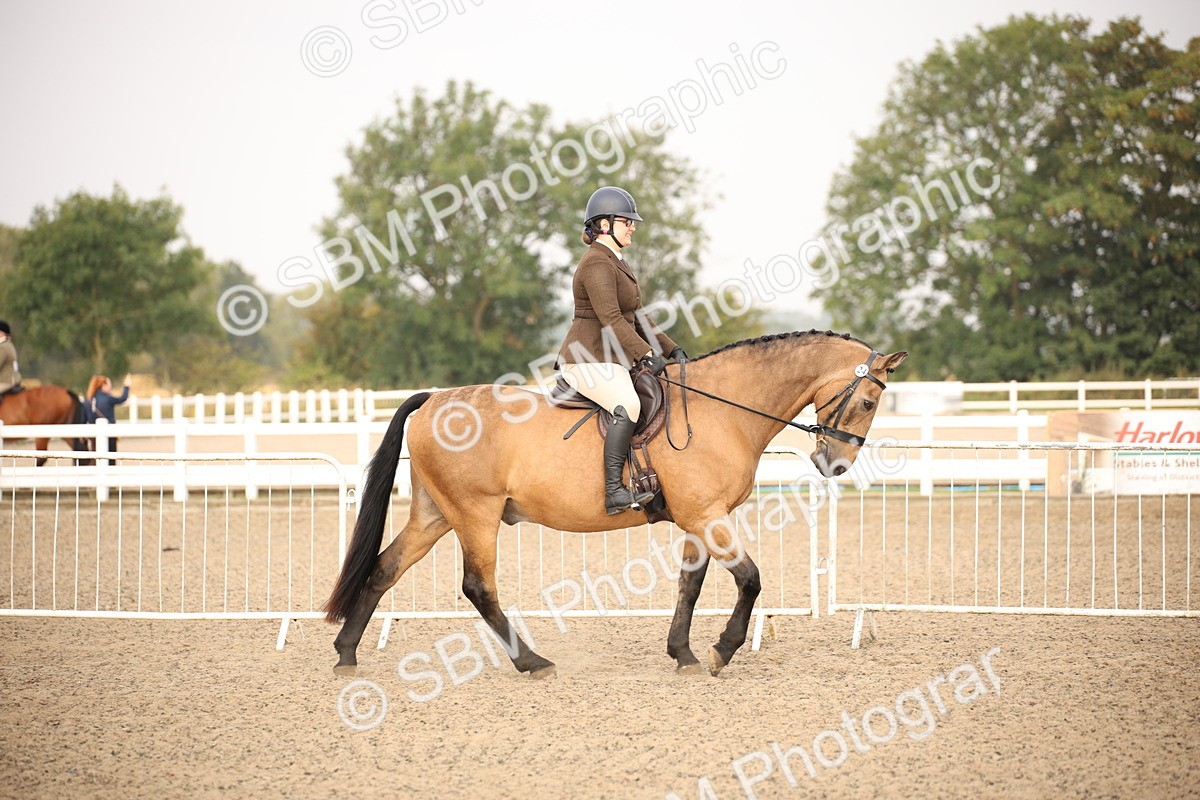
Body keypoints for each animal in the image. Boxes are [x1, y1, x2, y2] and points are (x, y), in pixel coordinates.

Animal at [325, 330, 907, 678]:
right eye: (868, 401)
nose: (835, 466)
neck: (723, 409)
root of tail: (435, 400)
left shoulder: (698, 520)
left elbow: (690, 587)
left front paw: (683, 653)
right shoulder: (708, 517)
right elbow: (750, 579)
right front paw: (721, 650)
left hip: (434, 514)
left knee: (384, 569)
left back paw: (347, 653)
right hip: (475, 515)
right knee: (477, 587)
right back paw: (533, 662)